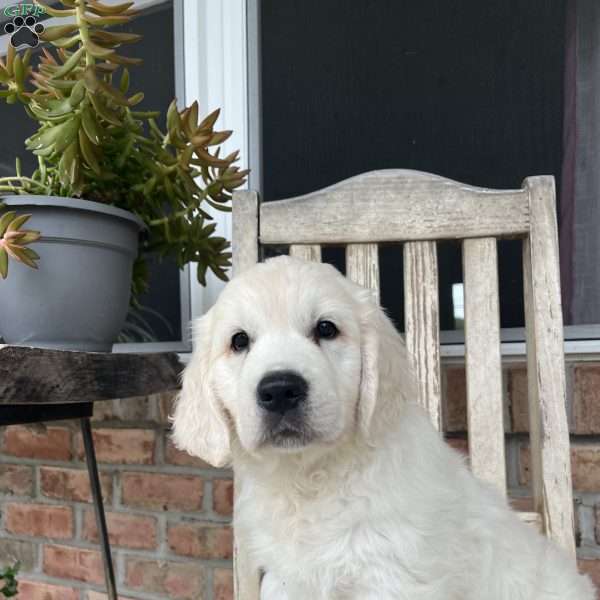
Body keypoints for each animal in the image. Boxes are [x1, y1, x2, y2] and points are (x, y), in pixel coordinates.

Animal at [171, 255, 592, 596]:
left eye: (326, 329)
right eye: (239, 341)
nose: (280, 390)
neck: (312, 478)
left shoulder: (394, 578)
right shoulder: (287, 579)